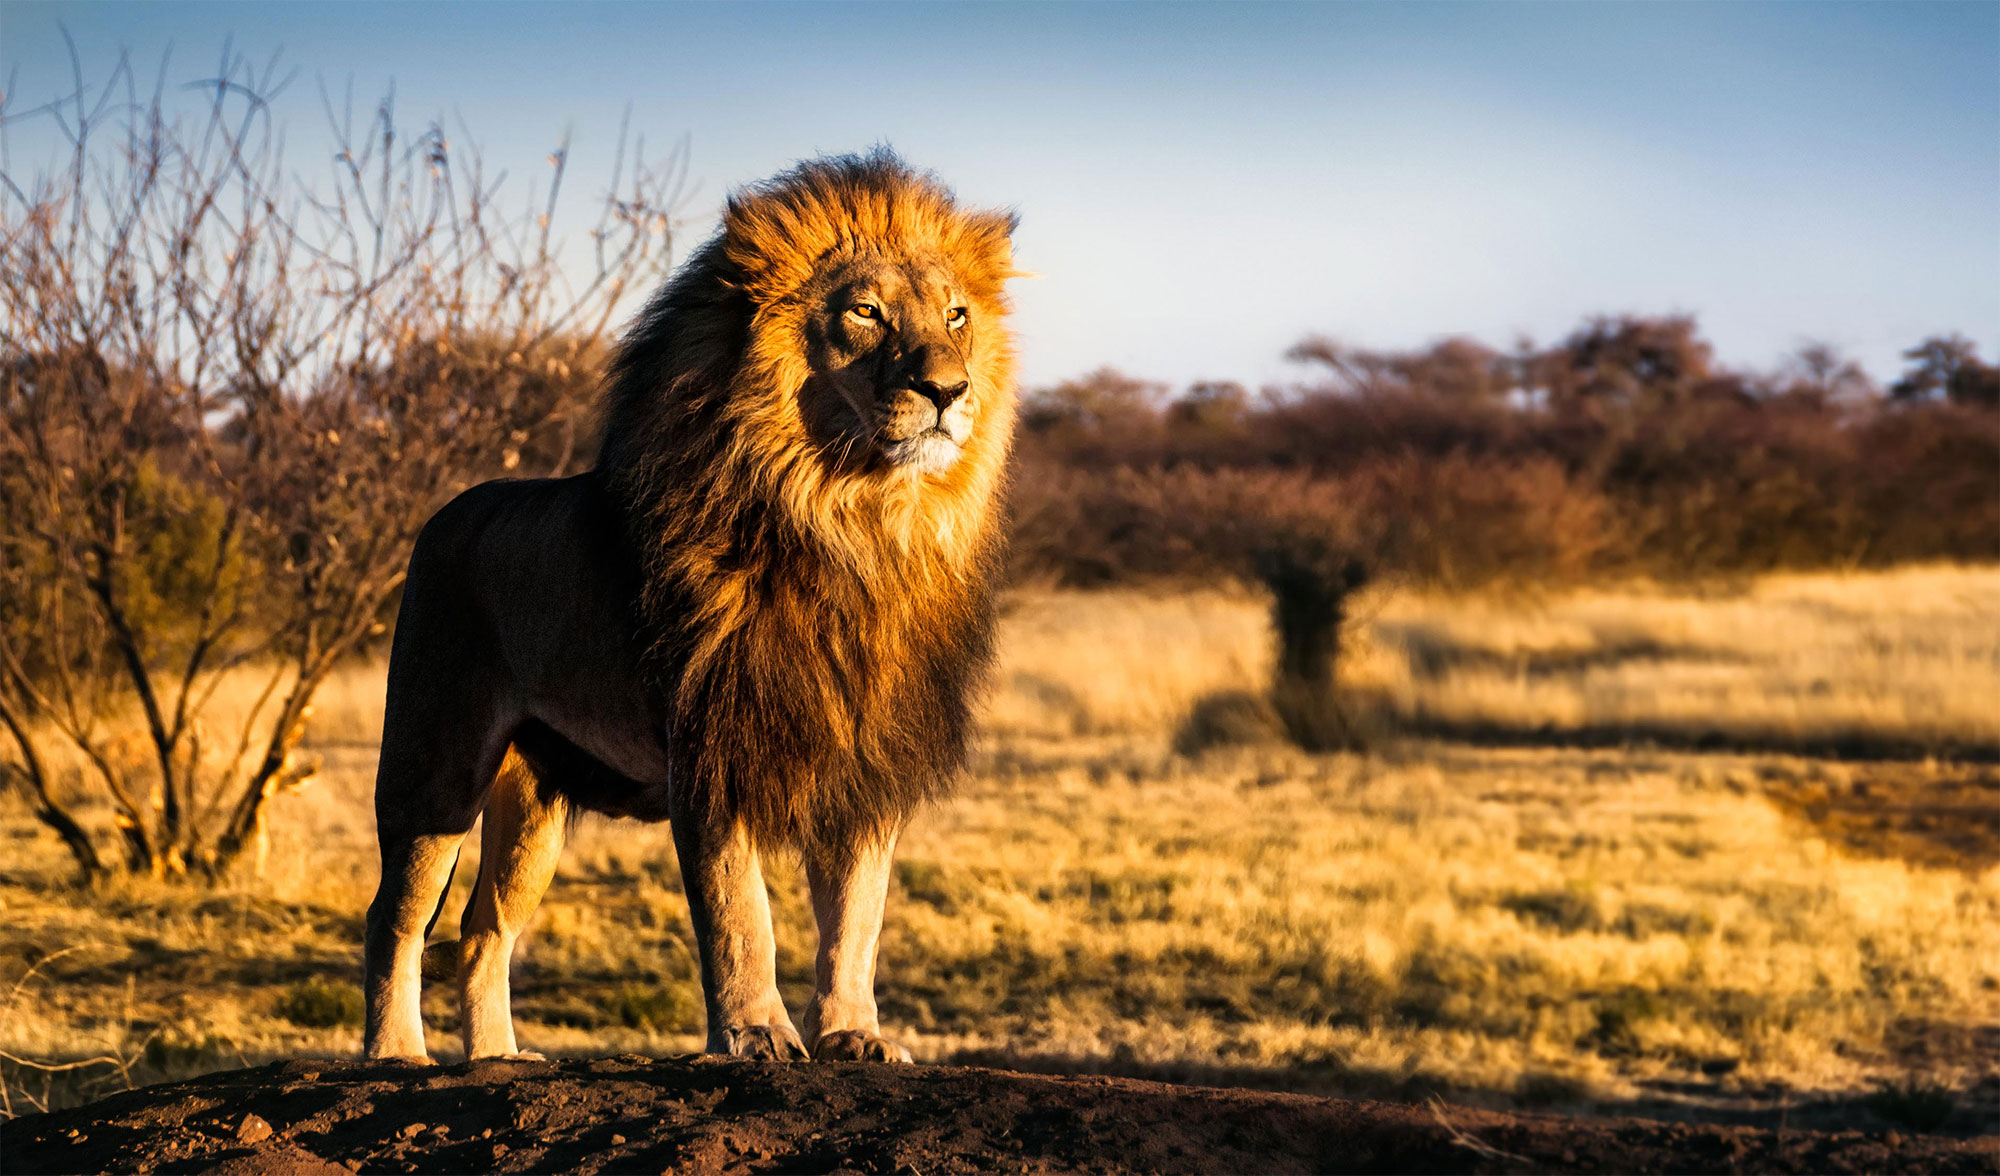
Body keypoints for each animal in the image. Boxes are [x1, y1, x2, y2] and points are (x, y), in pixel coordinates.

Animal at [361, 152, 1019, 1063]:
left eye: (957, 315)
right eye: (865, 311)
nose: (949, 389)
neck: (853, 523)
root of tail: (445, 512)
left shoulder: (865, 759)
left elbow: (857, 917)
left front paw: (853, 1034)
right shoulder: (710, 744)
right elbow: (741, 913)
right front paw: (756, 1034)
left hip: (533, 803)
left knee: (483, 928)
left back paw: (497, 1057)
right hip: (436, 767)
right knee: (395, 916)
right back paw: (395, 1053)